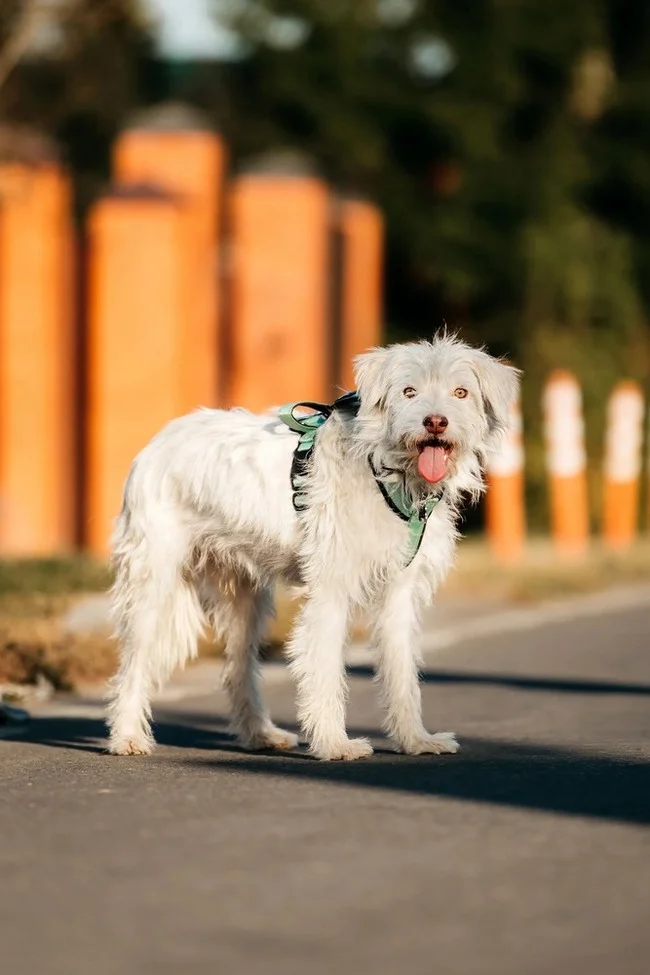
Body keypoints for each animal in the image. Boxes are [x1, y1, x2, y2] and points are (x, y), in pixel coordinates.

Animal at [109, 336, 520, 764]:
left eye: (461, 392)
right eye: (409, 391)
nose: (435, 422)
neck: (387, 469)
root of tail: (159, 441)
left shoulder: (399, 593)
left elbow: (402, 672)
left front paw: (415, 740)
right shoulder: (330, 592)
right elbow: (324, 670)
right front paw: (335, 743)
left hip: (245, 601)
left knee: (238, 669)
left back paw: (261, 734)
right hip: (152, 586)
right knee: (132, 666)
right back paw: (128, 737)